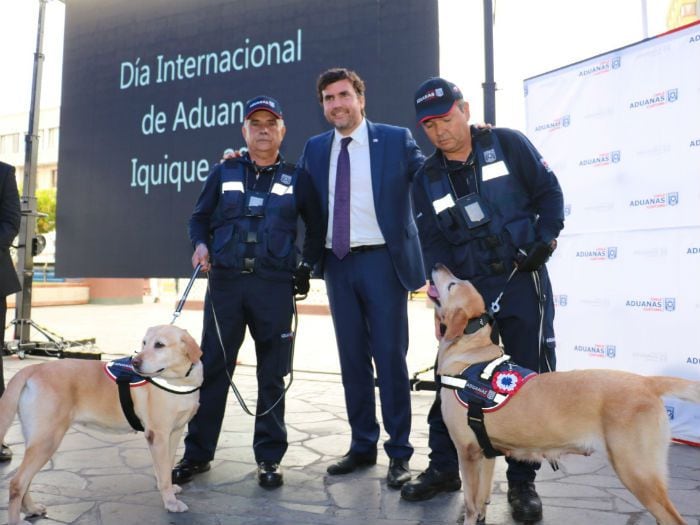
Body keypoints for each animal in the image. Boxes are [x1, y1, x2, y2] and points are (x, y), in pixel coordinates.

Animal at [0, 324, 202, 524]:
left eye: (159, 345)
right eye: (144, 343)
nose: (135, 362)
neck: (180, 379)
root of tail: (32, 368)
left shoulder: (174, 432)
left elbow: (167, 467)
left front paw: (170, 490)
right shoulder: (158, 435)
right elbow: (163, 475)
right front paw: (171, 502)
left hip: (37, 440)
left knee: (25, 481)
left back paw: (31, 508)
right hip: (47, 441)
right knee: (17, 482)